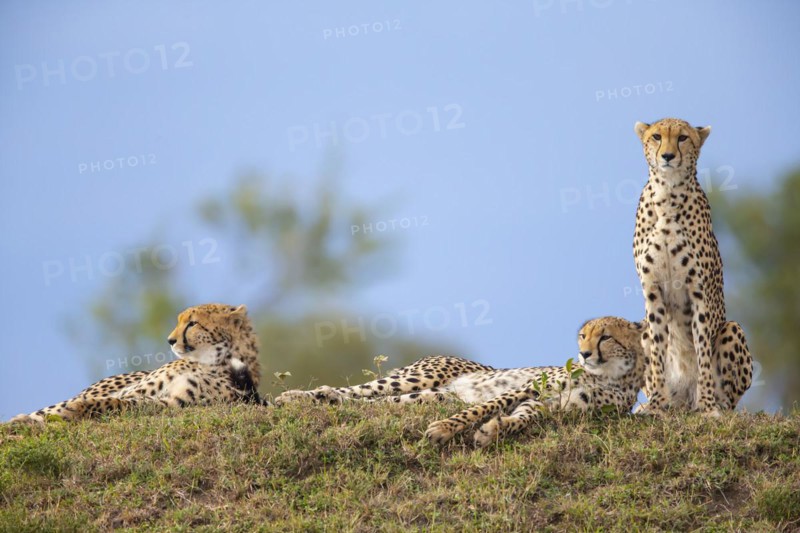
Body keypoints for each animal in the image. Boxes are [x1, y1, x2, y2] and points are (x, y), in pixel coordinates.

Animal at [6, 303, 264, 424]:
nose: (170, 340)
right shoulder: (139, 391)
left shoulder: (173, 404)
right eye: (180, 321)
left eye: (192, 323)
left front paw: (77, 410)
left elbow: (121, 404)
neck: (214, 362)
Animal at [275, 317, 646, 447]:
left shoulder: (554, 405)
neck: (611, 376)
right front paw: (443, 430)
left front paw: (493, 431)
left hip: (434, 396)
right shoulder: (529, 387)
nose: (583, 354)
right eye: (583, 335)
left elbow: (523, 417)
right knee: (357, 391)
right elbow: (491, 405)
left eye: (605, 337)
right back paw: (294, 397)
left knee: (369, 402)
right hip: (418, 378)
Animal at [632, 118, 752, 416]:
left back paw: (712, 404)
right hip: (642, 330)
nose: (667, 156)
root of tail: (683, 401)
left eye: (683, 138)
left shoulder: (699, 292)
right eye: (656, 136)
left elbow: (702, 353)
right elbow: (658, 352)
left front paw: (707, 405)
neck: (667, 193)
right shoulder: (652, 291)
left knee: (729, 399)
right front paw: (656, 404)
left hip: (732, 328)